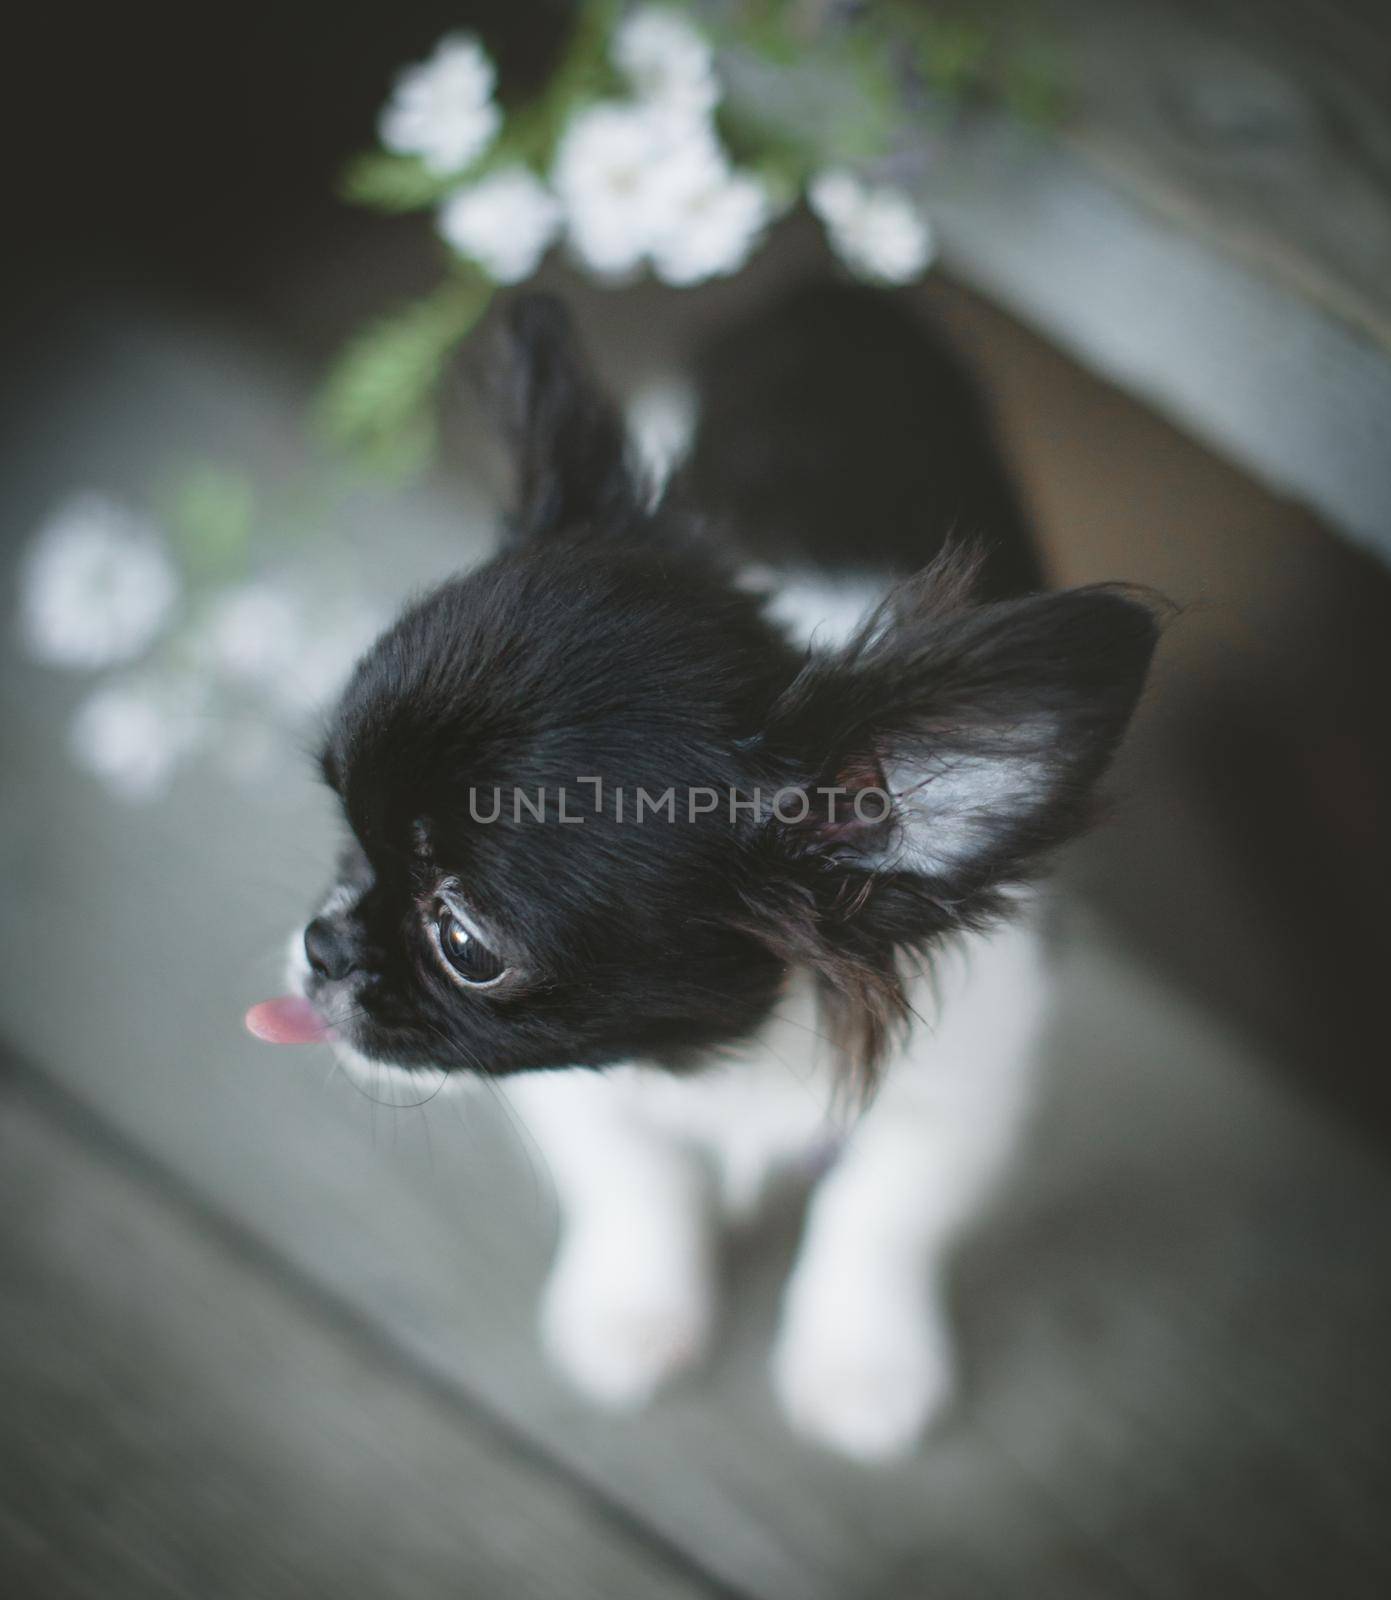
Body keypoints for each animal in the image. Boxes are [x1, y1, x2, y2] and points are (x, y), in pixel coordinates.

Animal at [246, 288, 1152, 1465]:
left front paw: (860, 1362)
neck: (722, 1056)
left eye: (465, 944)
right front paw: (633, 1309)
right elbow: (640, 1183)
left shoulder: (962, 1087)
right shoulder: (588, 1093)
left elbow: (882, 1212)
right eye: (348, 835)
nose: (323, 942)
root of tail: (836, 302)